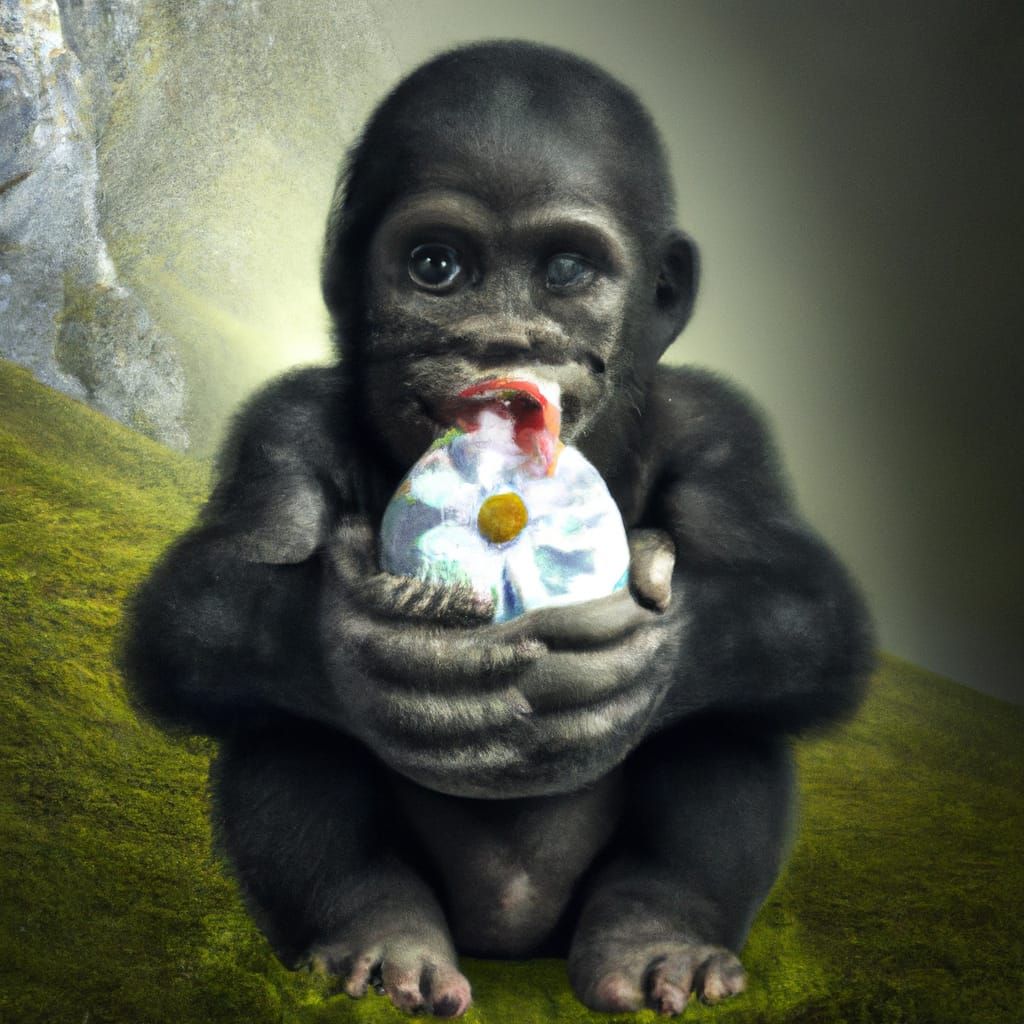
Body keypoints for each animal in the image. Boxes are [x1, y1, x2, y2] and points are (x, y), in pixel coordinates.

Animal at [122, 41, 873, 1018]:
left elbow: (810, 608)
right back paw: (378, 937)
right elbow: (201, 601)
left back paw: (660, 937)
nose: (502, 340)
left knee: (735, 716)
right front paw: (370, 652)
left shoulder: (724, 429)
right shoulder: (280, 426)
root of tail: (512, 941)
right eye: (437, 266)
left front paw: (645, 658)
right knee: (279, 722)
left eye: (567, 271)